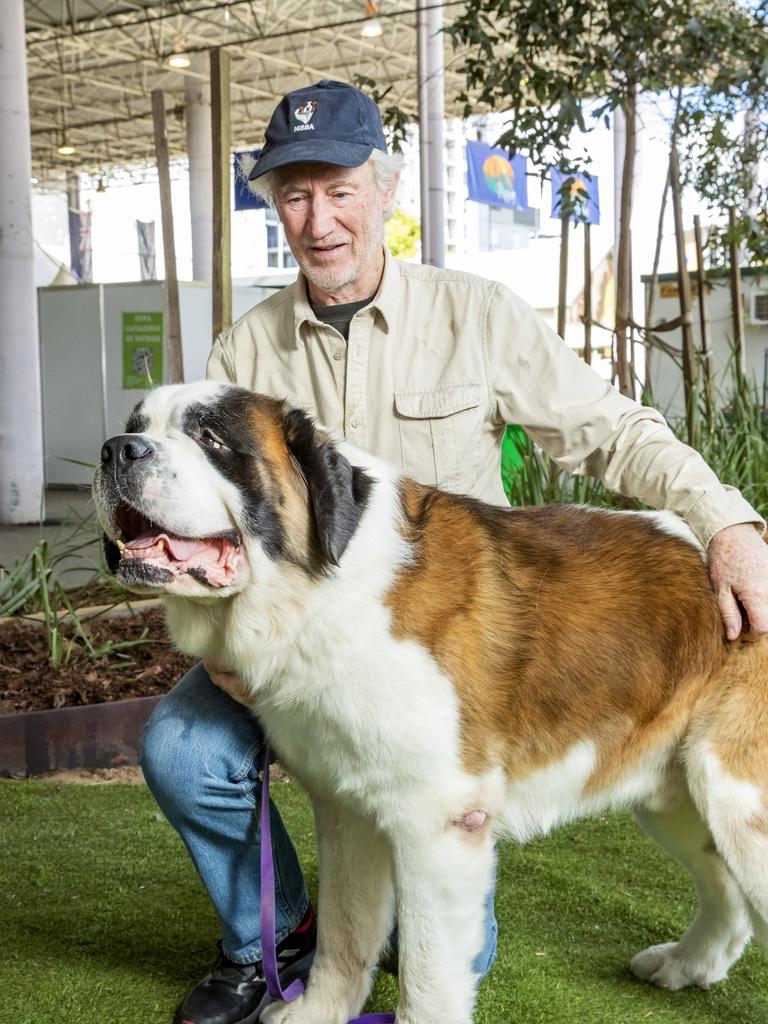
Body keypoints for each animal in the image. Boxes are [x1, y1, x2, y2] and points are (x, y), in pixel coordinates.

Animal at [94, 380, 768, 1019]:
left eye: (210, 438)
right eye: (137, 426)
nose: (116, 450)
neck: (319, 588)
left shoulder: (438, 823)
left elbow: (427, 967)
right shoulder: (347, 810)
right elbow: (345, 932)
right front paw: (319, 1012)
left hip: (736, 798)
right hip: (677, 792)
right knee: (726, 894)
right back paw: (686, 964)